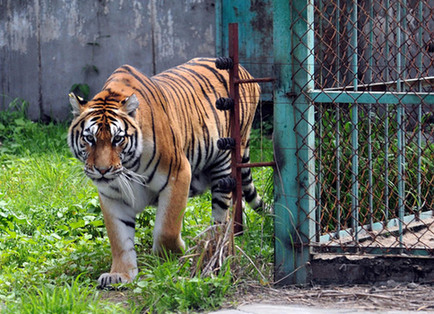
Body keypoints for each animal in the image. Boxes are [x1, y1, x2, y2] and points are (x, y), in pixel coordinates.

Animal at [67, 57, 262, 288]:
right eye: (90, 138)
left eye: (117, 139)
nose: (102, 170)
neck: (129, 167)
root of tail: (245, 72)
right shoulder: (111, 195)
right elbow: (119, 239)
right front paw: (120, 274)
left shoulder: (178, 174)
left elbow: (166, 228)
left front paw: (174, 256)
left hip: (224, 163)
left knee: (222, 216)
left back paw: (217, 248)